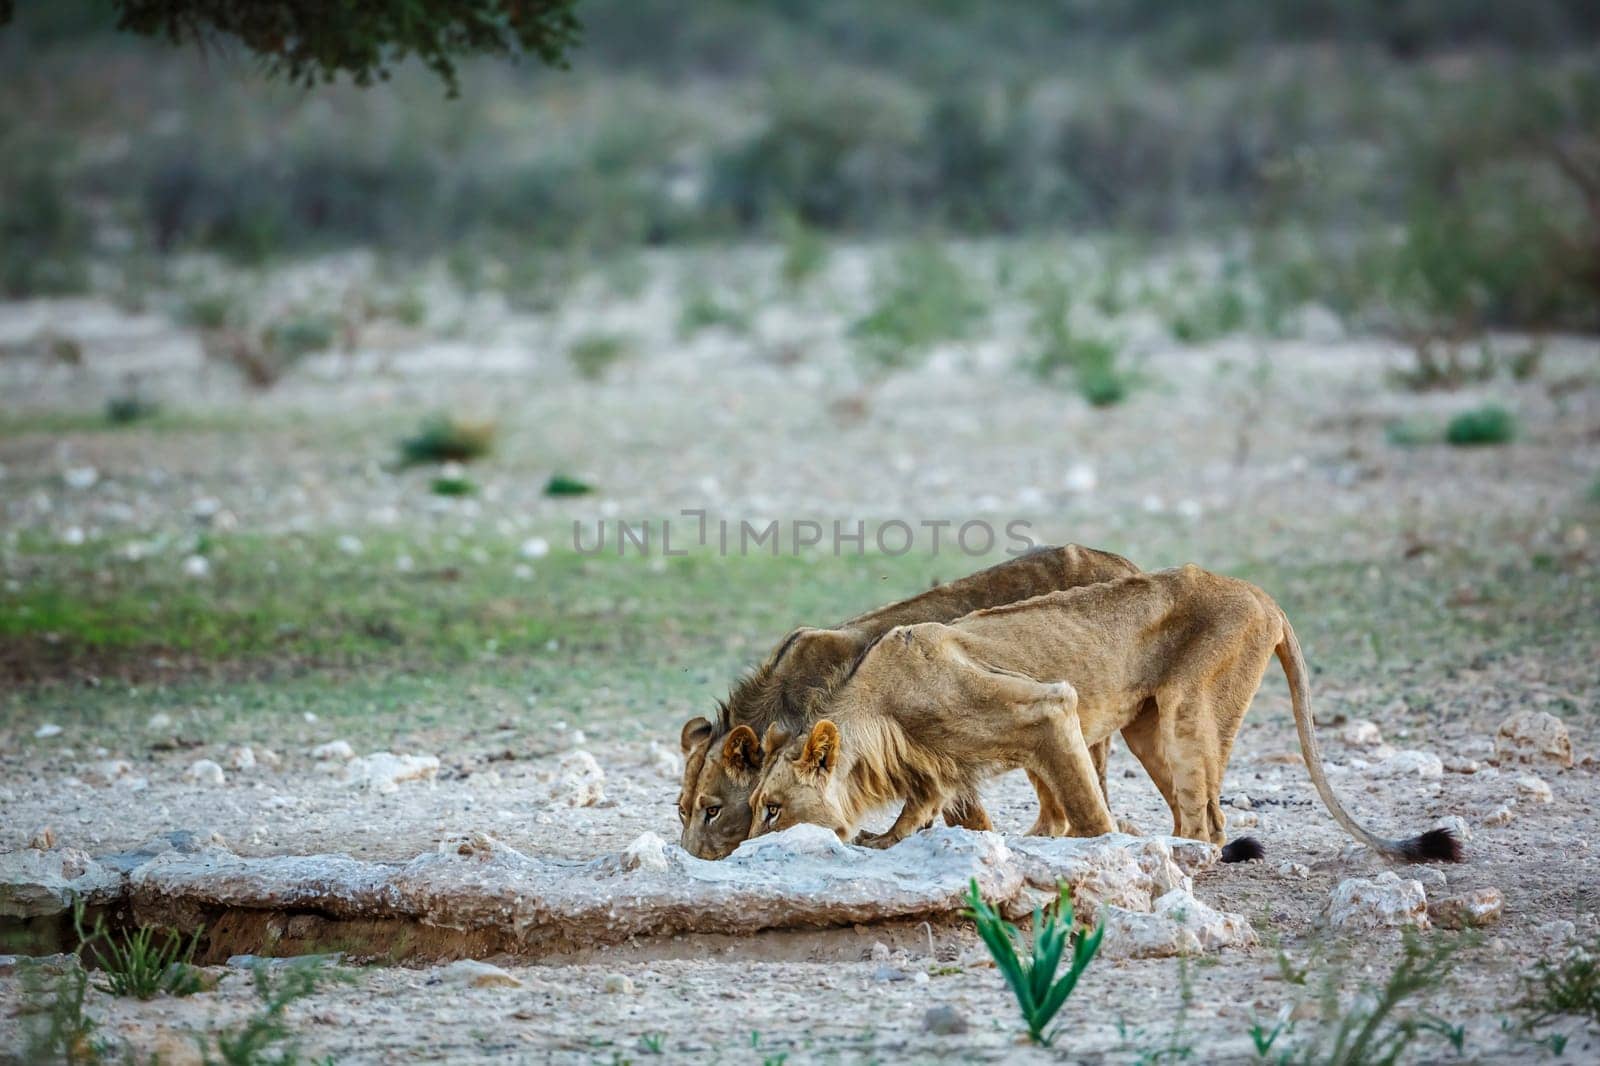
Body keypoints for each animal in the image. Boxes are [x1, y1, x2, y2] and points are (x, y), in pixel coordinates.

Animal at [745, 563, 1465, 864]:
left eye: (772, 809)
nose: (741, 849)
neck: (877, 709)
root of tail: (1266, 598)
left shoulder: (1047, 708)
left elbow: (1090, 812)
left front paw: (1101, 856)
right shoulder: (937, 766)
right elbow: (922, 807)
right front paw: (885, 839)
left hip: (1188, 707)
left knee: (1205, 821)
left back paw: (1181, 857)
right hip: (1150, 725)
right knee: (1197, 811)